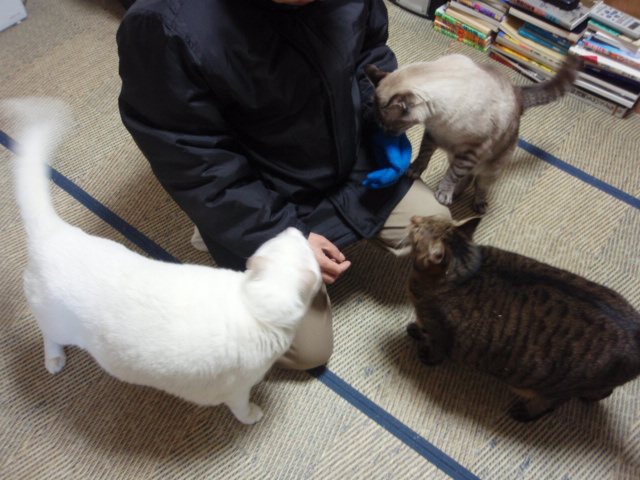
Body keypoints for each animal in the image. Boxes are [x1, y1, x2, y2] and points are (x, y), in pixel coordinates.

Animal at [7, 98, 322, 425]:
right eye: (305, 248)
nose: (294, 229)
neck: (252, 301)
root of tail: (52, 233)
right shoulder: (237, 389)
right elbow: (241, 407)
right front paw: (253, 415)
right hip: (55, 321)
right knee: (49, 336)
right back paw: (54, 359)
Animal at [365, 54, 579, 214]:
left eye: (389, 127)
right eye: (382, 126)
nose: (388, 135)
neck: (437, 119)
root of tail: (517, 93)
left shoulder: (472, 149)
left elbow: (453, 175)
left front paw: (443, 194)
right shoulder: (432, 135)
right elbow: (424, 157)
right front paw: (413, 171)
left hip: (489, 167)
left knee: (479, 184)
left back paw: (476, 204)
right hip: (458, 156)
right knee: (467, 178)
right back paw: (456, 196)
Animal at [405, 215, 640, 422]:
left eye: (418, 230)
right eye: (427, 217)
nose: (413, 218)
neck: (467, 270)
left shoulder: (439, 332)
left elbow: (434, 347)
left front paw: (424, 352)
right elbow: (421, 328)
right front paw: (416, 329)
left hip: (554, 387)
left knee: (553, 403)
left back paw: (525, 413)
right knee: (604, 392)